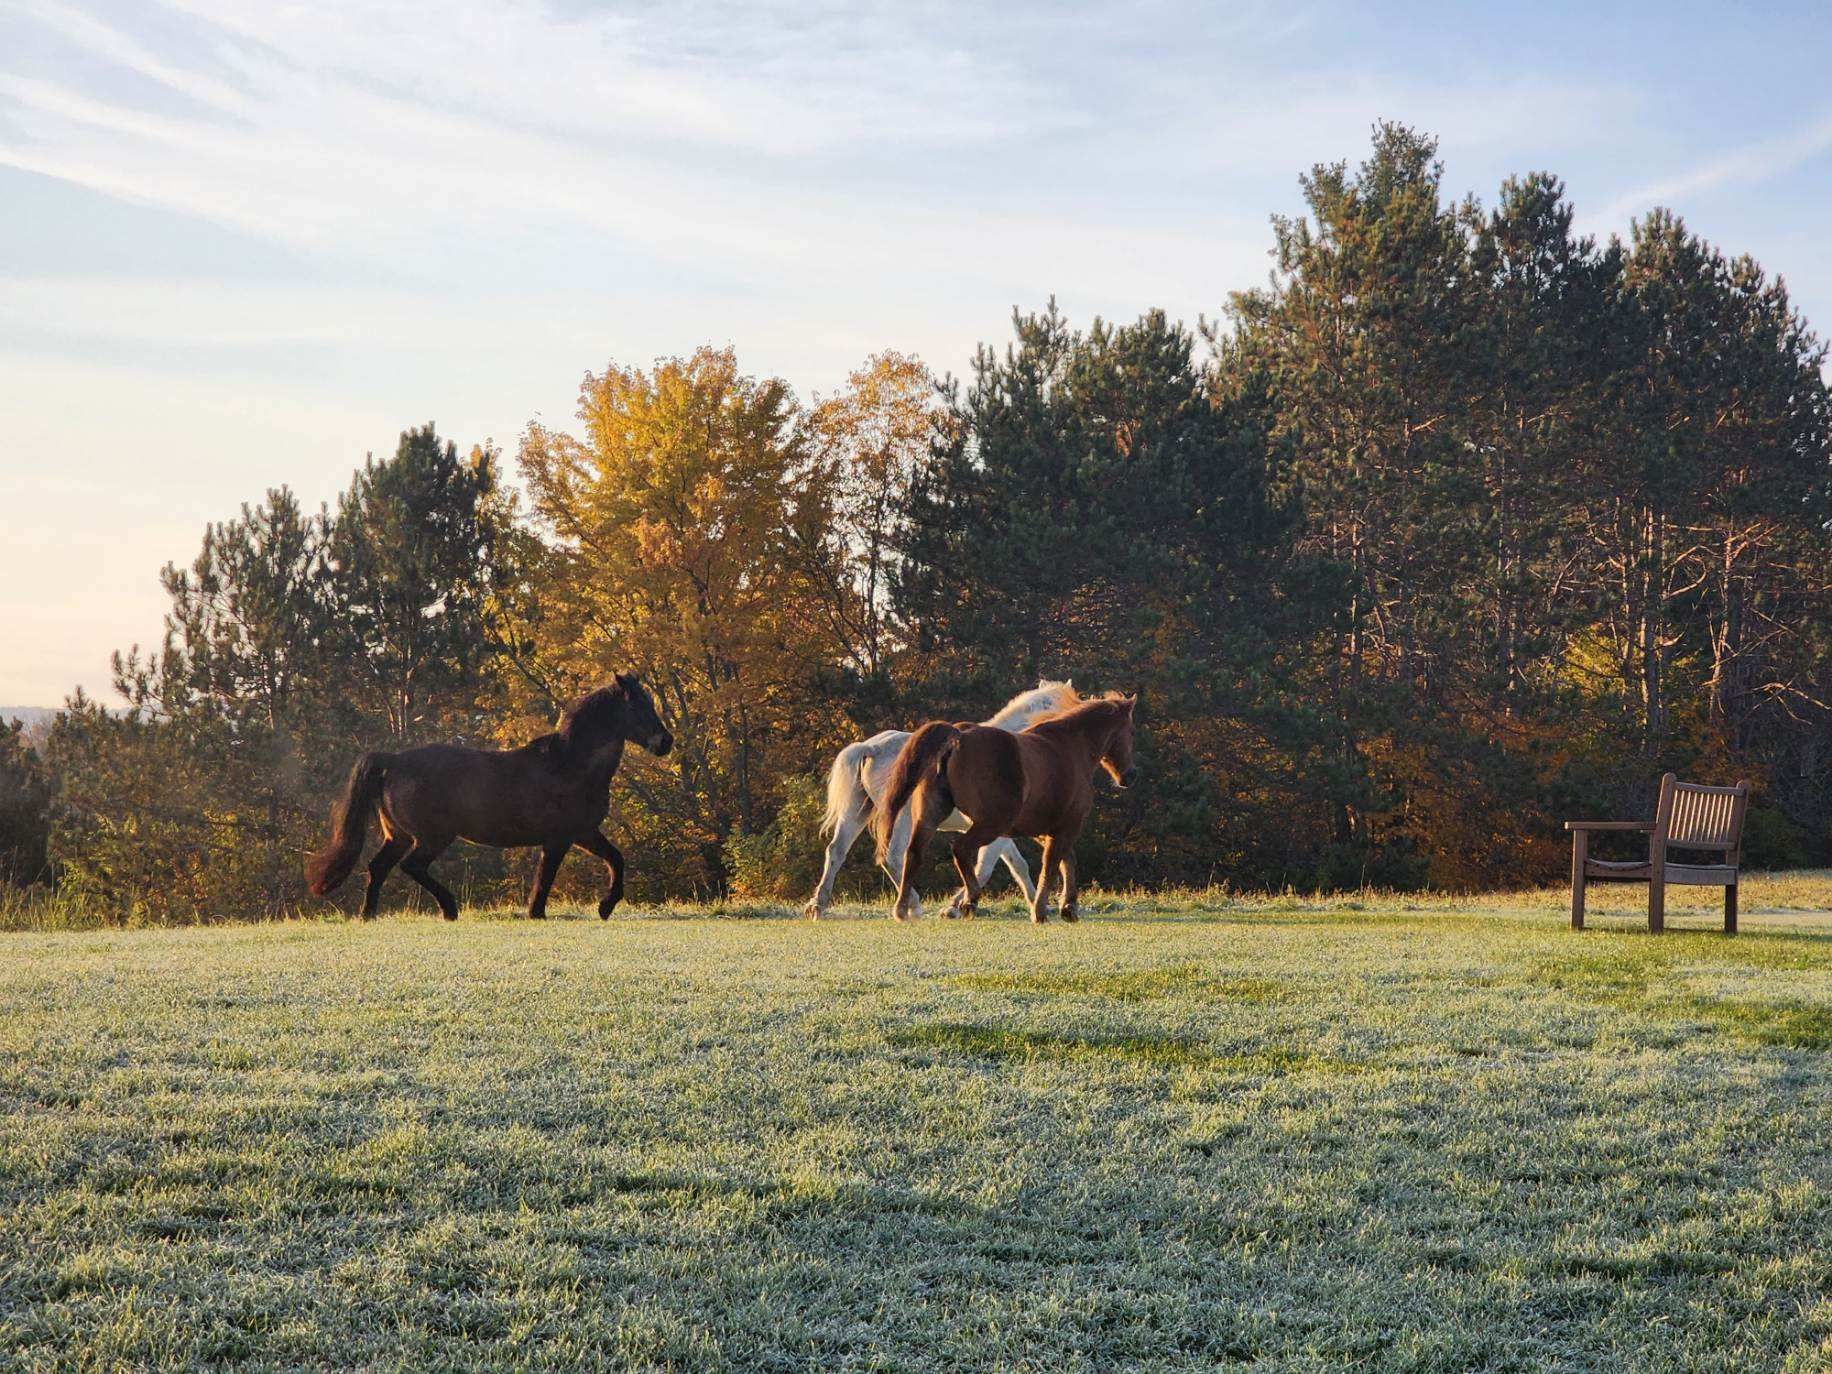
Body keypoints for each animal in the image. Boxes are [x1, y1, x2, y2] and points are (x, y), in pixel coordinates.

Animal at [304, 675, 674, 921]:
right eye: (638, 706)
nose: (665, 742)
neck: (569, 763)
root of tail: (392, 761)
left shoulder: (583, 833)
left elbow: (616, 859)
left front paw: (605, 906)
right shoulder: (560, 838)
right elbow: (546, 878)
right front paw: (539, 913)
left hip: (399, 836)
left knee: (379, 867)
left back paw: (369, 914)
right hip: (432, 837)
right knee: (412, 866)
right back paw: (449, 909)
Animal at [804, 680, 1080, 918]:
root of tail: (871, 748)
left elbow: (1016, 865)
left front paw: (1036, 903)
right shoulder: (995, 831)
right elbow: (986, 868)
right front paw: (958, 906)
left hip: (858, 811)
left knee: (837, 851)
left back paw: (818, 905)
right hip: (903, 819)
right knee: (893, 856)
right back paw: (912, 905)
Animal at [875, 694, 1136, 924]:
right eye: (1129, 731)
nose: (1130, 776)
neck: (1070, 748)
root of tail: (958, 735)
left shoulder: (1046, 831)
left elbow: (1066, 861)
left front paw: (1068, 907)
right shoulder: (1067, 827)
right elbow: (1051, 866)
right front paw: (1042, 911)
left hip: (931, 817)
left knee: (913, 854)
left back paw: (903, 909)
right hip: (989, 824)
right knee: (960, 849)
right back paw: (969, 900)